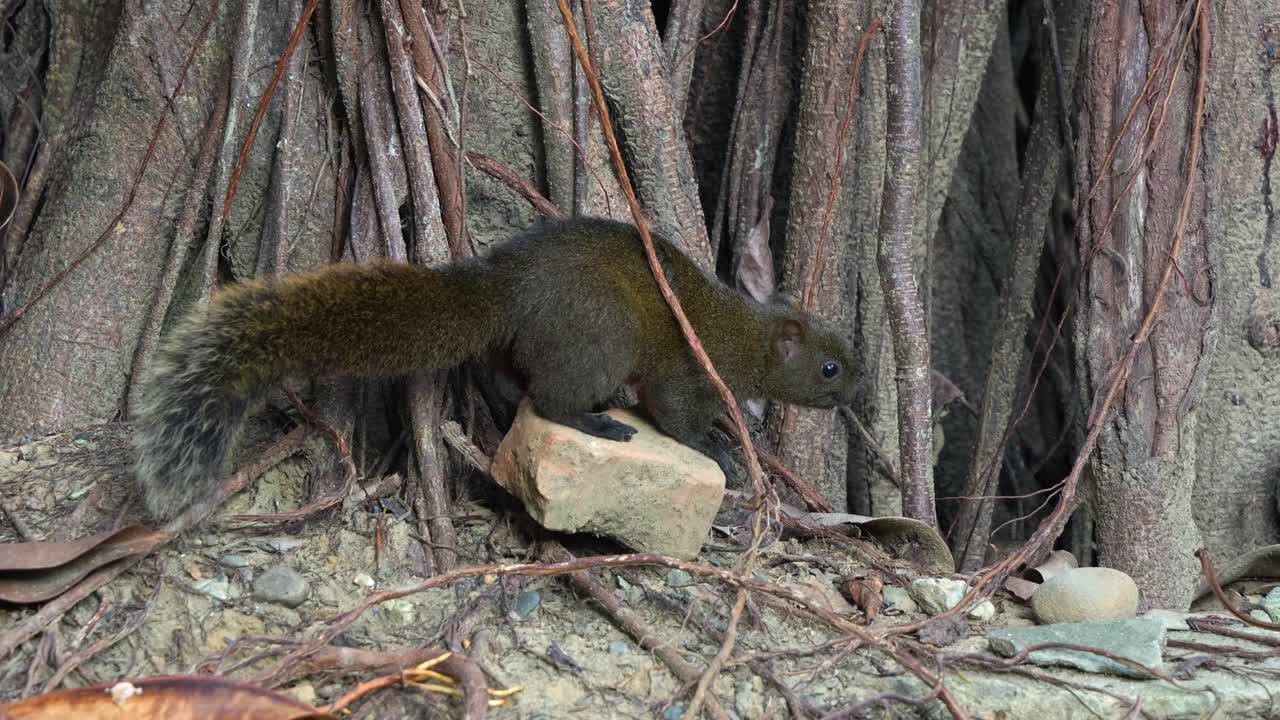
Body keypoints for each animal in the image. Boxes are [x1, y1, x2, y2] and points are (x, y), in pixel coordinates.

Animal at [133, 217, 858, 520]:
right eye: (830, 367)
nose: (858, 395)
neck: (745, 336)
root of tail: (504, 289)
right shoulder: (687, 372)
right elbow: (677, 417)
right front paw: (722, 449)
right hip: (600, 338)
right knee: (551, 401)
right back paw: (599, 424)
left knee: (511, 381)